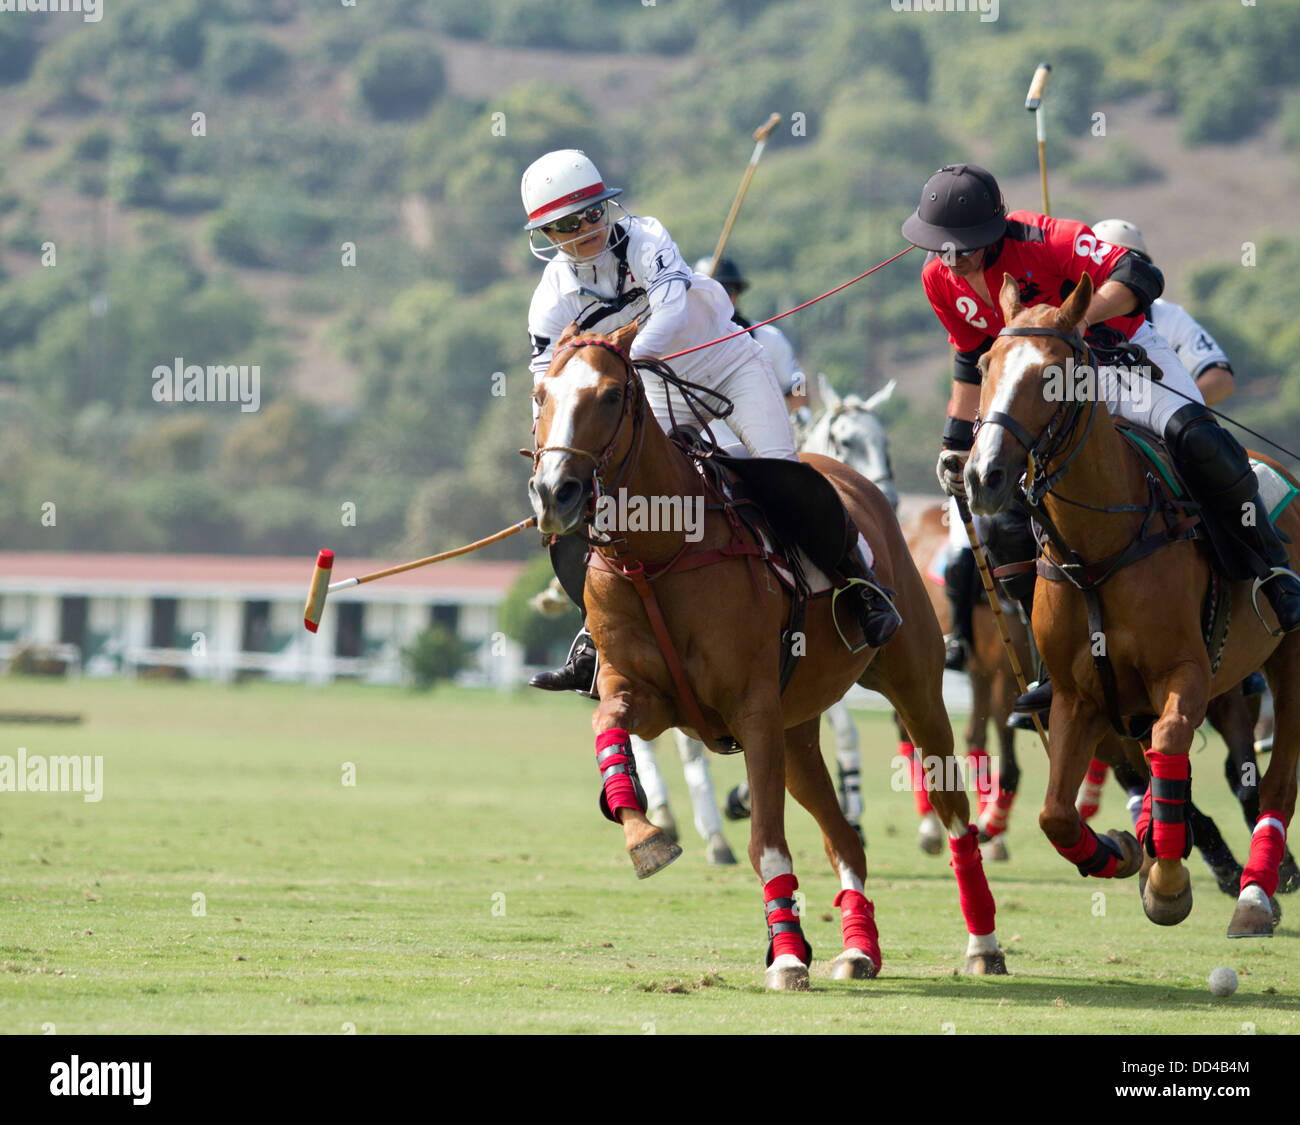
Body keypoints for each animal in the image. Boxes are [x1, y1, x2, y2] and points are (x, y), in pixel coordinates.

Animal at [527, 319, 1003, 988]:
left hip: (914, 688)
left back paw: (982, 940)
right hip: (797, 727)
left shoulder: (753, 710)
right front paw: (644, 831)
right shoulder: (646, 696)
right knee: (843, 838)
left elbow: (767, 842)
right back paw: (860, 949)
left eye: (612, 395)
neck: (657, 552)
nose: (555, 492)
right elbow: (608, 726)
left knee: (953, 808)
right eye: (541, 395)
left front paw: (786, 955)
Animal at [967, 271, 1300, 941]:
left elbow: (1172, 745)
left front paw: (1168, 885)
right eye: (986, 364)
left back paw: (1255, 892)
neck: (1099, 548)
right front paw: (1120, 850)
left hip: (1288, 659)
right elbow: (1055, 813)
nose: (984, 475)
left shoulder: (1187, 672)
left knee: (1276, 777)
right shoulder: (1078, 698)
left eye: (1052, 373)